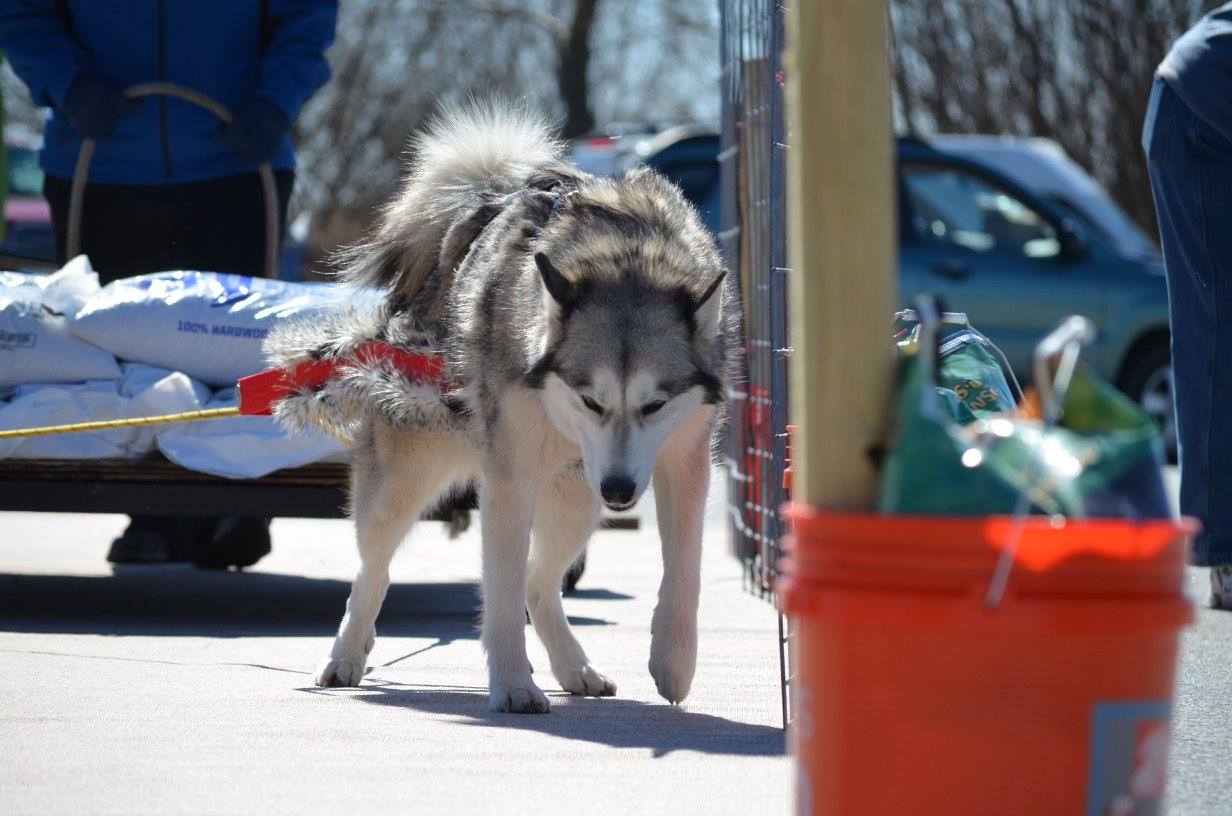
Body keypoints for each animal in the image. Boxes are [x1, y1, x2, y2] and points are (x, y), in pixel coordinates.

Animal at [269, 100, 729, 714]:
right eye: (590, 399)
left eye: (655, 404)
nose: (620, 491)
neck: (624, 256)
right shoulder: (509, 480)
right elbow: (502, 594)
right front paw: (512, 684)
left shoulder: (686, 461)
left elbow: (684, 571)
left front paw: (673, 663)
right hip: (402, 486)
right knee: (375, 571)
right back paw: (346, 655)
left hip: (577, 500)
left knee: (540, 580)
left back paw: (575, 667)